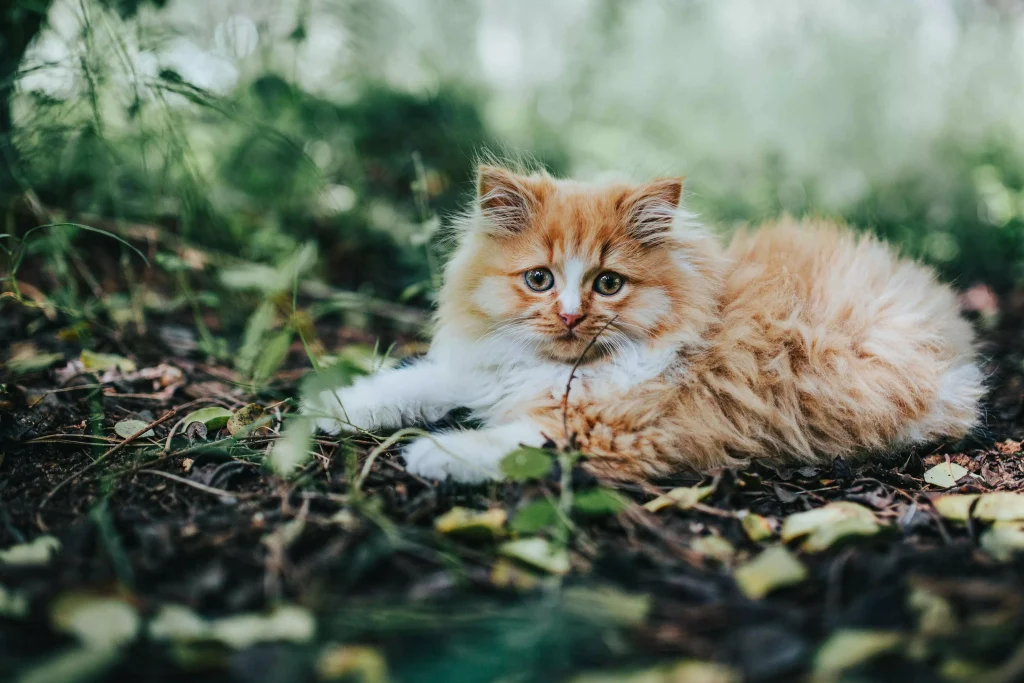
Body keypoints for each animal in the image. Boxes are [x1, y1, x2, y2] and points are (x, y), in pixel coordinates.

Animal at [303, 166, 983, 481]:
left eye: (609, 284)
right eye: (539, 280)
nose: (570, 315)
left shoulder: (618, 423)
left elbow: (509, 439)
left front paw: (432, 453)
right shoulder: (480, 370)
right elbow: (411, 382)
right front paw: (329, 407)